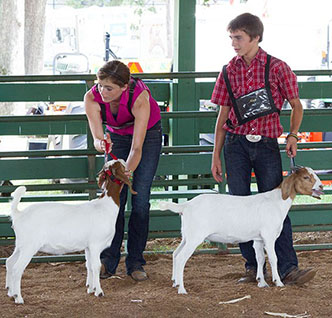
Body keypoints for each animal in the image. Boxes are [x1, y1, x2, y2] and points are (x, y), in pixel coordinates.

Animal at [159, 168, 324, 294]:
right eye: (306, 177)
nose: (321, 186)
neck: (276, 202)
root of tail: (186, 205)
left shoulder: (258, 239)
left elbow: (260, 258)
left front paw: (261, 282)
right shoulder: (269, 236)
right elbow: (273, 258)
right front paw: (278, 282)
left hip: (187, 235)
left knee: (175, 254)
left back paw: (175, 282)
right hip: (195, 236)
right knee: (181, 258)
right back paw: (182, 289)